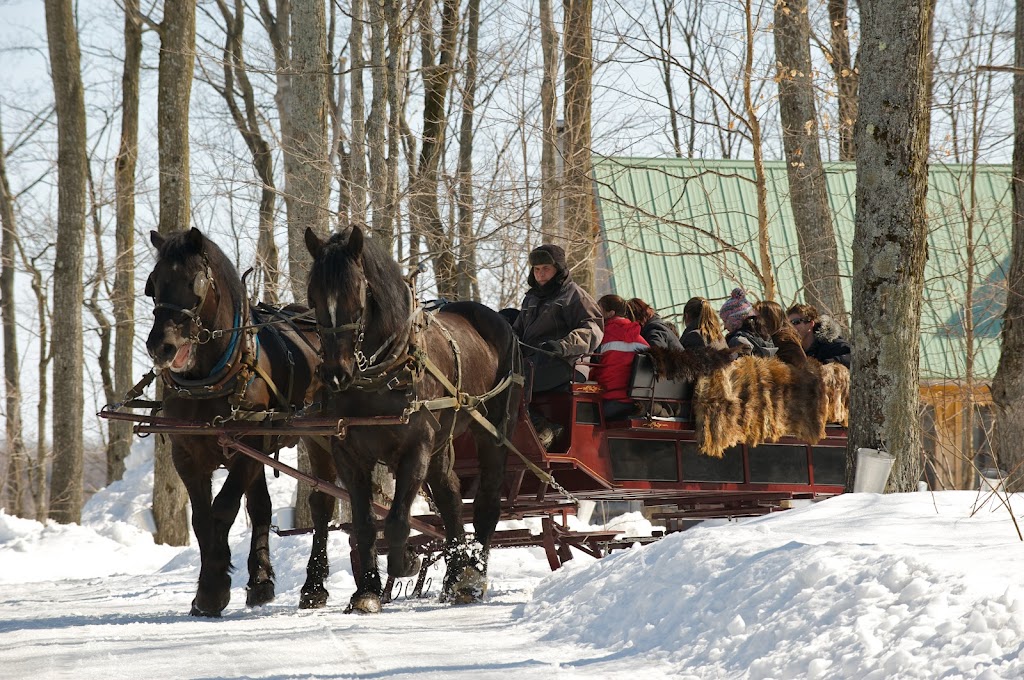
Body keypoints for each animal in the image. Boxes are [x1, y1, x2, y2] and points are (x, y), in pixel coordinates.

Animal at [145, 228, 335, 614]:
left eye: (195, 281)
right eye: (154, 282)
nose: (161, 346)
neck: (211, 378)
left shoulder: (248, 444)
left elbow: (223, 509)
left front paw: (213, 588)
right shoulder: (186, 453)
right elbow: (202, 518)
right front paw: (216, 588)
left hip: (319, 436)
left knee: (322, 502)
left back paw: (311, 585)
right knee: (263, 506)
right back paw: (262, 579)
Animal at [301, 224, 524, 610]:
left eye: (356, 295)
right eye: (313, 296)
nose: (335, 373)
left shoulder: (415, 446)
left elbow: (395, 521)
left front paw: (404, 559)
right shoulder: (348, 453)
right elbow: (364, 523)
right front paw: (367, 591)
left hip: (493, 429)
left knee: (486, 501)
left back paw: (475, 574)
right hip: (443, 440)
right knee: (449, 495)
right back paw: (456, 574)